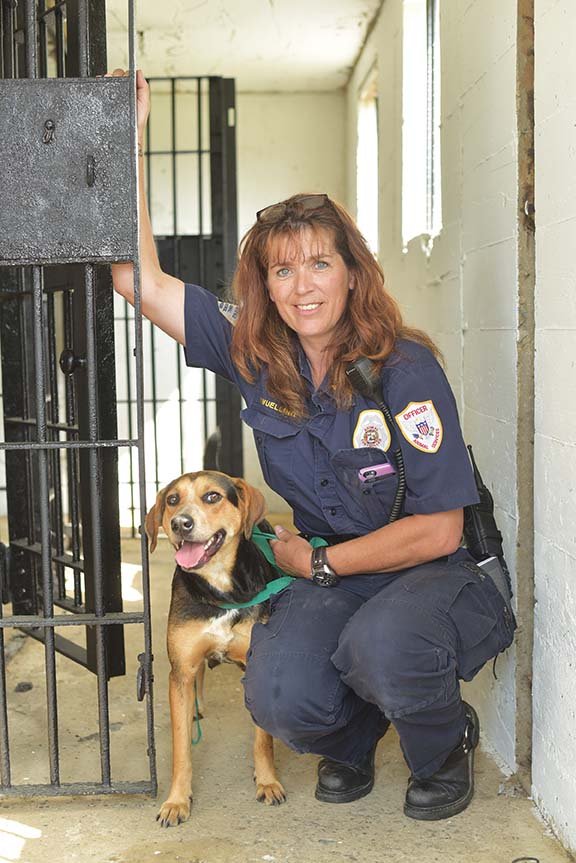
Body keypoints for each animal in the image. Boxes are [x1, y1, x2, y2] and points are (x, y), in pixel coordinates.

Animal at [144, 470, 288, 828]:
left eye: (212, 497)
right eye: (172, 499)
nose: (180, 523)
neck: (220, 591)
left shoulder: (256, 664)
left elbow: (263, 740)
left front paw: (267, 781)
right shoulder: (180, 669)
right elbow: (181, 748)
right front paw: (176, 801)